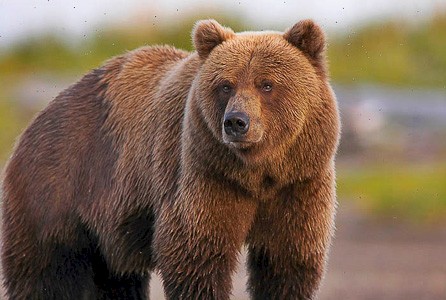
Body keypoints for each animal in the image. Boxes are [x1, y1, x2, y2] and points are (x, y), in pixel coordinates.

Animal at [1, 19, 340, 300]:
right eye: (225, 85)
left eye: (267, 84)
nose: (236, 121)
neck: (258, 174)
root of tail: (35, 121)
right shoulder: (205, 173)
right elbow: (196, 253)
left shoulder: (299, 183)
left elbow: (287, 259)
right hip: (55, 191)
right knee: (47, 276)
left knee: (116, 280)